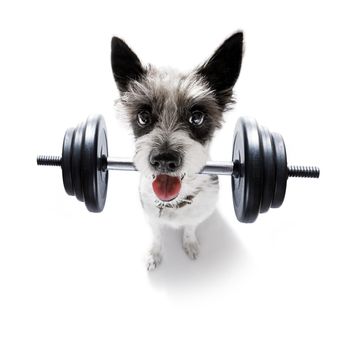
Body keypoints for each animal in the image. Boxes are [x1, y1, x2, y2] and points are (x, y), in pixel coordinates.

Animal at [110, 31, 242, 270]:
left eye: (197, 118)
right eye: (143, 116)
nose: (164, 160)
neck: (174, 203)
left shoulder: (196, 216)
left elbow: (190, 228)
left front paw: (190, 244)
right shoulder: (151, 217)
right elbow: (157, 236)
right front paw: (154, 254)